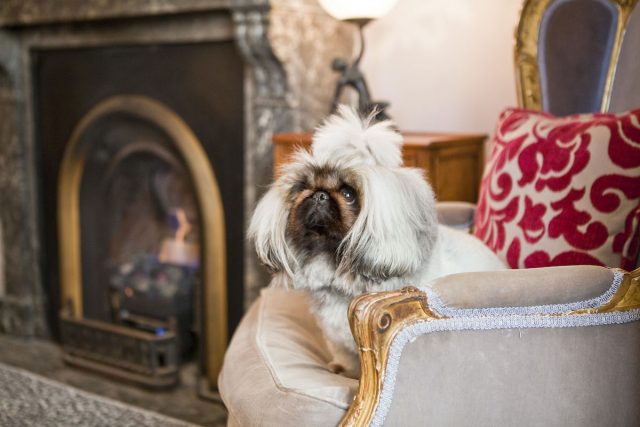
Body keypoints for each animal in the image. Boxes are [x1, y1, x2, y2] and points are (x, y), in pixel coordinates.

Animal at [249, 107, 504, 378]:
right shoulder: (336, 339)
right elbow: (344, 358)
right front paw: (340, 370)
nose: (319, 195)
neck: (336, 269)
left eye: (348, 194)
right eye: (303, 187)